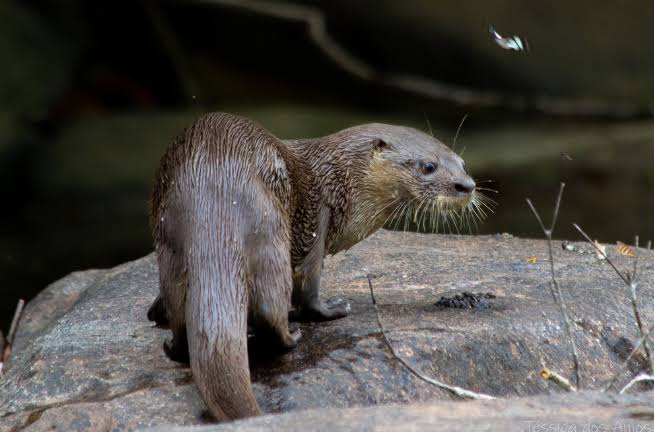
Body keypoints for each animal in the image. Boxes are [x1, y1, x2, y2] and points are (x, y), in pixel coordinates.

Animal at [147, 112, 479, 421]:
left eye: (462, 162)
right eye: (428, 166)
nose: (467, 185)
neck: (341, 179)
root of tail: (213, 197)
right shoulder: (320, 217)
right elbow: (310, 282)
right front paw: (332, 309)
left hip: (171, 242)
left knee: (181, 311)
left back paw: (173, 343)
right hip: (270, 229)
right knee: (270, 306)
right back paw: (292, 335)